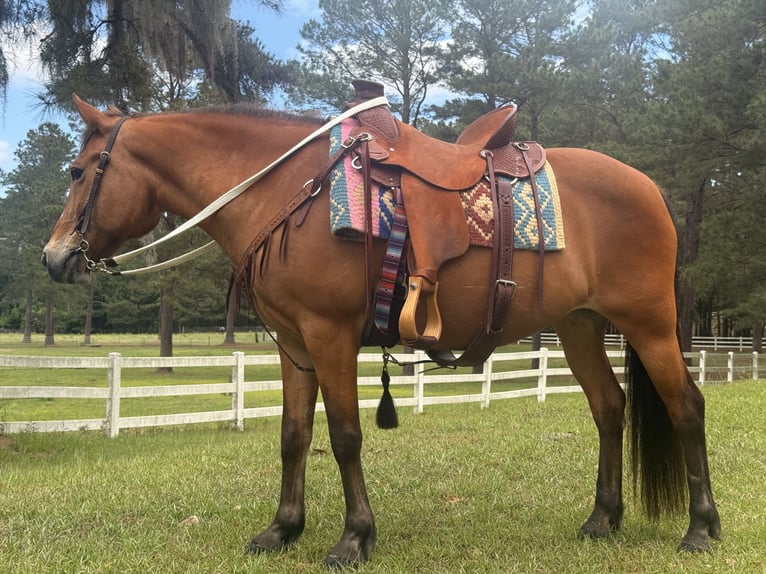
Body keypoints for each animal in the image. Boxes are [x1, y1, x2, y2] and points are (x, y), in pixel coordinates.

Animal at [42, 95, 721, 568]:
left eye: (77, 172)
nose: (53, 259)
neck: (288, 191)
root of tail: (649, 186)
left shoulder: (330, 336)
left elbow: (344, 436)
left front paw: (353, 537)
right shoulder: (295, 346)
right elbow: (293, 435)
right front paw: (282, 528)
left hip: (650, 323)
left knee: (686, 407)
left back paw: (700, 527)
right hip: (579, 327)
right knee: (609, 408)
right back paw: (602, 520)